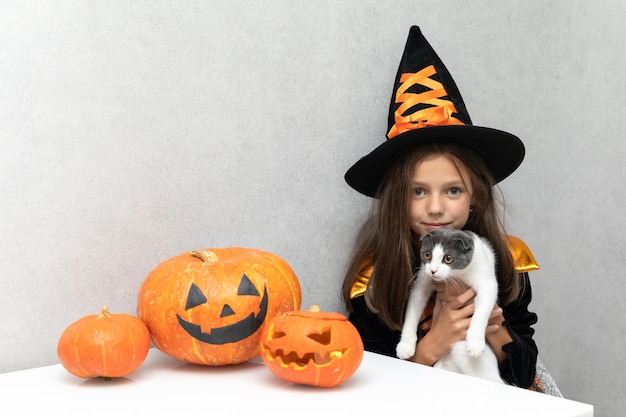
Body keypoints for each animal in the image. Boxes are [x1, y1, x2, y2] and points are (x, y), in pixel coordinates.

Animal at [394, 228, 502, 384]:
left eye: (448, 258)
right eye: (427, 255)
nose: (433, 270)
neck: (458, 276)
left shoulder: (487, 281)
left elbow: (482, 310)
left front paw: (475, 342)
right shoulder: (422, 280)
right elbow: (412, 311)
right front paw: (406, 345)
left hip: (464, 350)